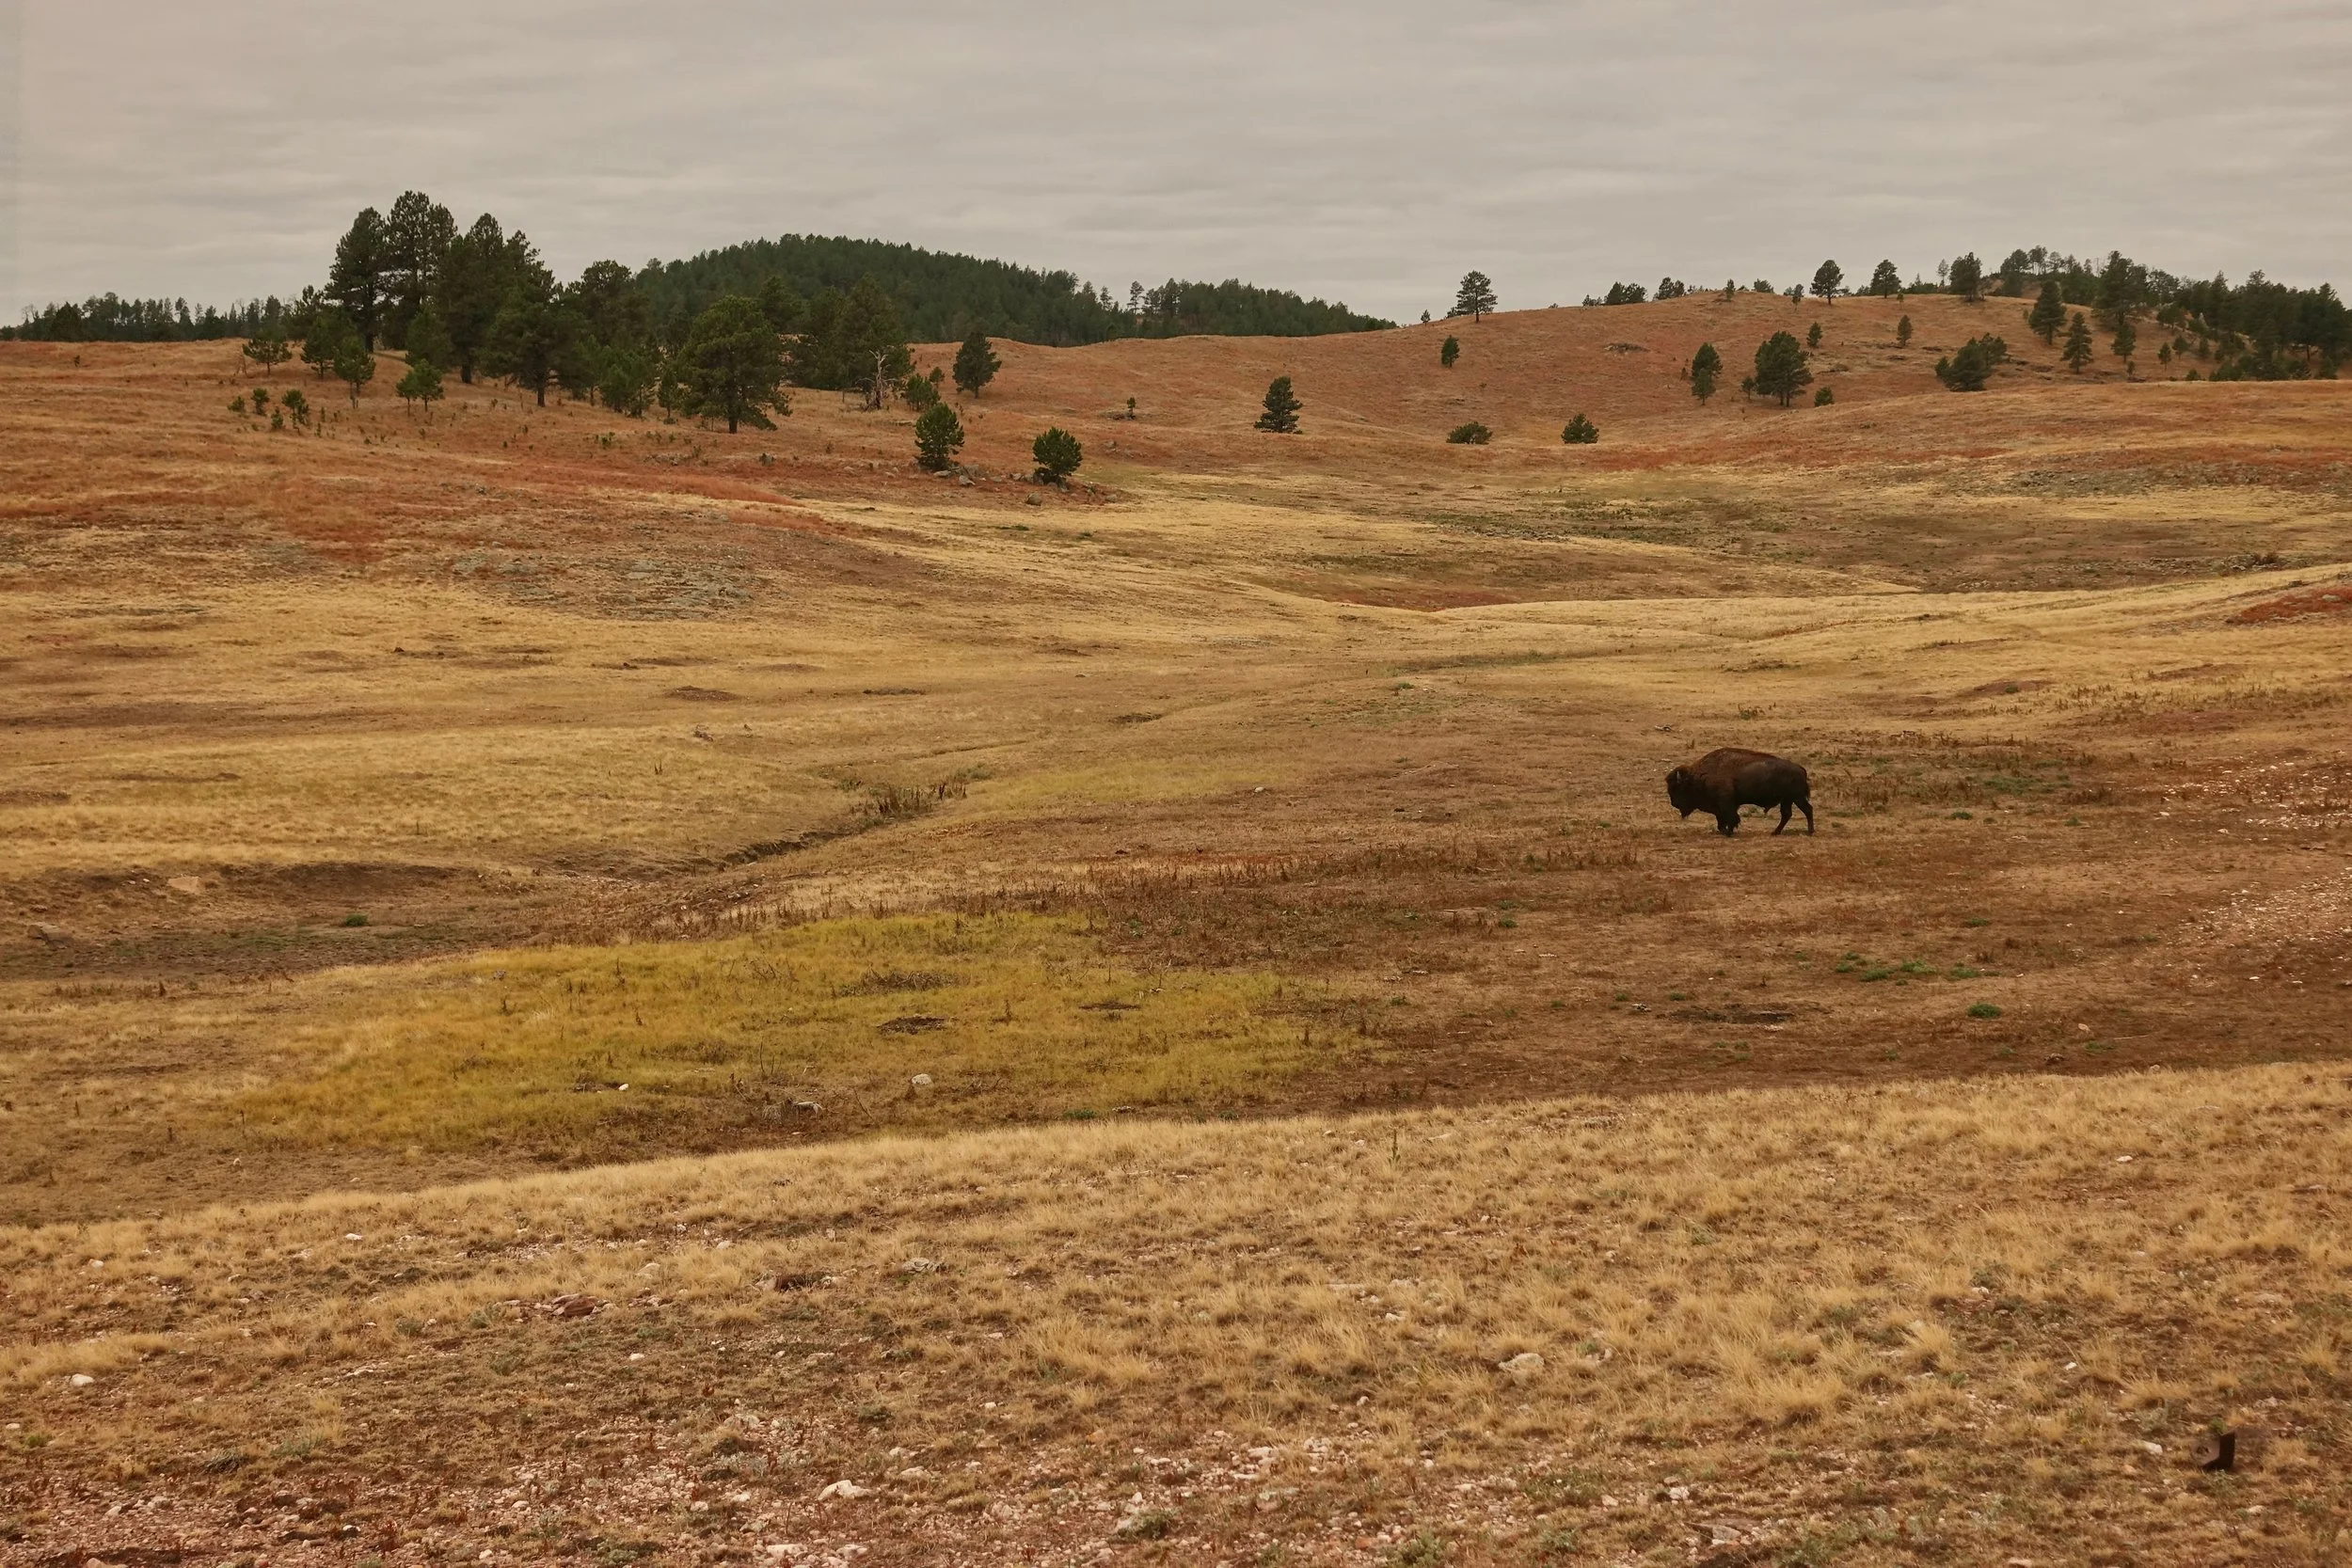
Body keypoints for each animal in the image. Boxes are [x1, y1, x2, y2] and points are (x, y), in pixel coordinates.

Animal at [1666, 747, 1814, 836]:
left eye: (1677, 787)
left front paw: (1729, 832)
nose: (1674, 803)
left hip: (1797, 798)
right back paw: (1775, 832)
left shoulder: (1726, 803)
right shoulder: (1721, 807)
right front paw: (1725, 831)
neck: (1699, 776)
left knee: (1807, 810)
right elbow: (1722, 820)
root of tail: (1800, 768)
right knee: (1787, 814)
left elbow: (1730, 818)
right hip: (1787, 799)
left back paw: (1810, 831)